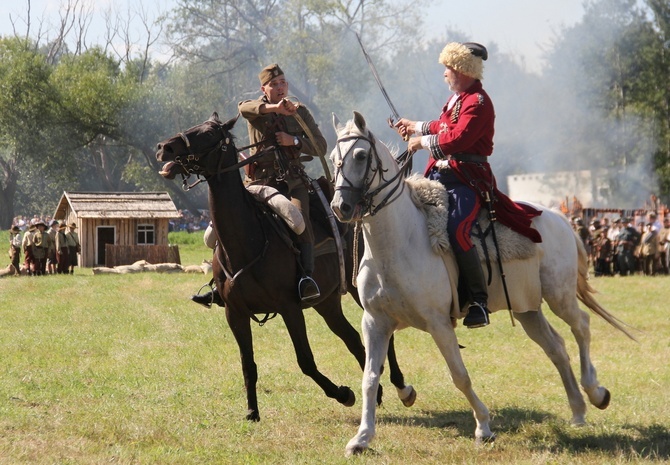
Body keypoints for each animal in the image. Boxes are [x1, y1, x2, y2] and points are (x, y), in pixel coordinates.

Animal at [158, 111, 418, 420]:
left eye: (209, 133)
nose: (165, 148)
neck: (247, 242)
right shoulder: (235, 313)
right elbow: (248, 363)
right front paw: (252, 411)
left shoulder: (290, 308)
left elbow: (305, 360)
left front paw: (343, 394)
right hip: (326, 302)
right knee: (353, 338)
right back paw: (376, 392)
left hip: (356, 291)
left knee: (381, 336)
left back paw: (401, 388)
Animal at [330, 111, 636, 454]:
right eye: (331, 159)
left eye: (360, 155)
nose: (340, 207)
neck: (398, 242)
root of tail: (560, 218)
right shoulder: (375, 323)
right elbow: (370, 377)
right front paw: (362, 437)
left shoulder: (438, 323)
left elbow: (459, 375)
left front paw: (484, 426)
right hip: (528, 310)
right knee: (556, 348)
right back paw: (578, 409)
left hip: (559, 296)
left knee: (581, 326)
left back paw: (595, 391)